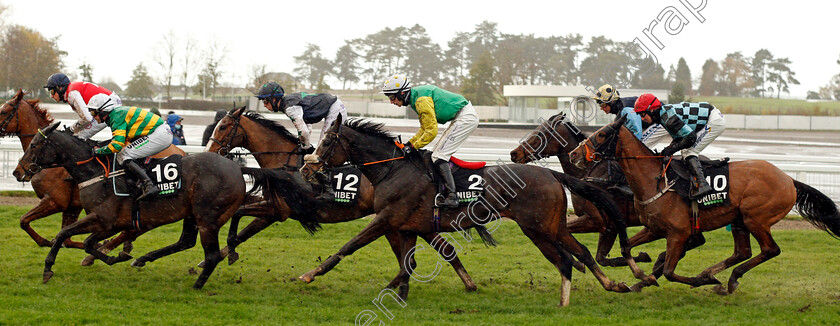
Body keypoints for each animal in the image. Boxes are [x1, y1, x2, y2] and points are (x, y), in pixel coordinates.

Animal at [14, 121, 244, 288]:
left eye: (34, 145)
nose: (19, 171)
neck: (97, 173)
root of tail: (238, 171)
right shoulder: (109, 224)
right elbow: (87, 243)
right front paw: (116, 257)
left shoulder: (103, 219)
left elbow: (64, 234)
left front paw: (48, 268)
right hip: (192, 215)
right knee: (185, 242)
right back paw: (142, 259)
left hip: (207, 218)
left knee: (212, 255)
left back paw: (197, 284)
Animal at [203, 108, 480, 292]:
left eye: (223, 127)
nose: (210, 152)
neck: (284, 162)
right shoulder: (274, 210)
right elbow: (240, 220)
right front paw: (216, 257)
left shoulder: (277, 211)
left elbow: (241, 221)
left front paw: (223, 254)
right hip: (400, 222)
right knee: (424, 254)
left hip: (396, 220)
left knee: (427, 254)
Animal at [508, 112, 652, 268]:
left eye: (540, 134)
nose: (514, 153)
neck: (588, 173)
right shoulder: (609, 226)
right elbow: (601, 258)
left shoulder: (597, 221)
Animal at [564, 117, 840, 292]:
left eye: (601, 134)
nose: (574, 154)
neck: (654, 180)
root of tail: (789, 179)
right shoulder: (654, 229)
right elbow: (626, 248)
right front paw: (641, 275)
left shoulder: (678, 233)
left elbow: (669, 271)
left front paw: (695, 281)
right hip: (739, 221)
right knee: (743, 252)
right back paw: (720, 276)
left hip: (755, 218)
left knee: (770, 250)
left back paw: (720, 278)